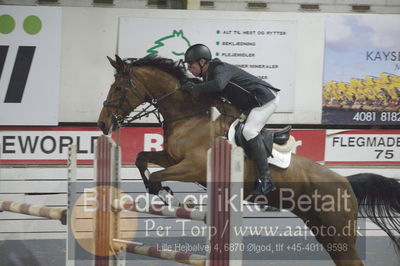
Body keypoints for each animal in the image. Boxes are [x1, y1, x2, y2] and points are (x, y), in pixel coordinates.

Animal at [97, 55, 400, 264]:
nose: (102, 124)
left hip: (339, 233)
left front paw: (166, 194)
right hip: (323, 230)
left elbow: (159, 174)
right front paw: (159, 191)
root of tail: (345, 180)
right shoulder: (171, 157)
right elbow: (141, 158)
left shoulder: (194, 167)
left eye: (119, 88)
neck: (190, 116)